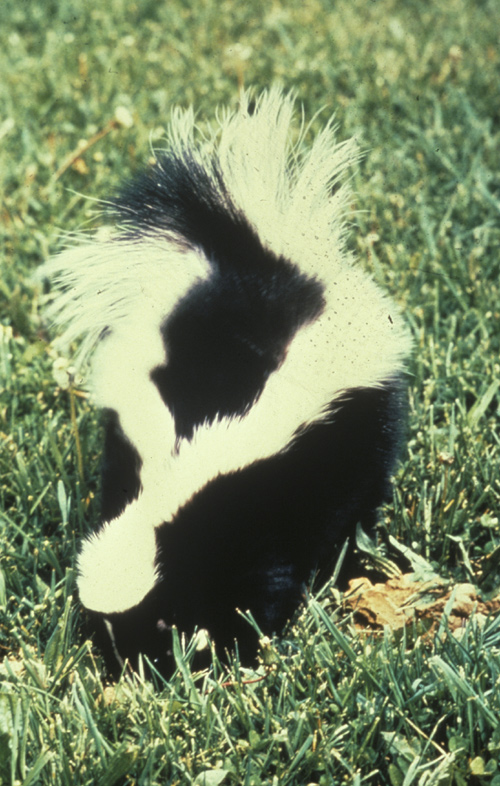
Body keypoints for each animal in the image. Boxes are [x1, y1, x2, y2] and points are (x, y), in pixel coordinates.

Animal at [42, 86, 410, 672]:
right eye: (105, 630)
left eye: (163, 619)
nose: (135, 669)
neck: (172, 484)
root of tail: (262, 268)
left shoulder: (255, 513)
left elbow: (265, 583)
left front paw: (248, 642)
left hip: (362, 422)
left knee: (363, 491)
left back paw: (353, 554)